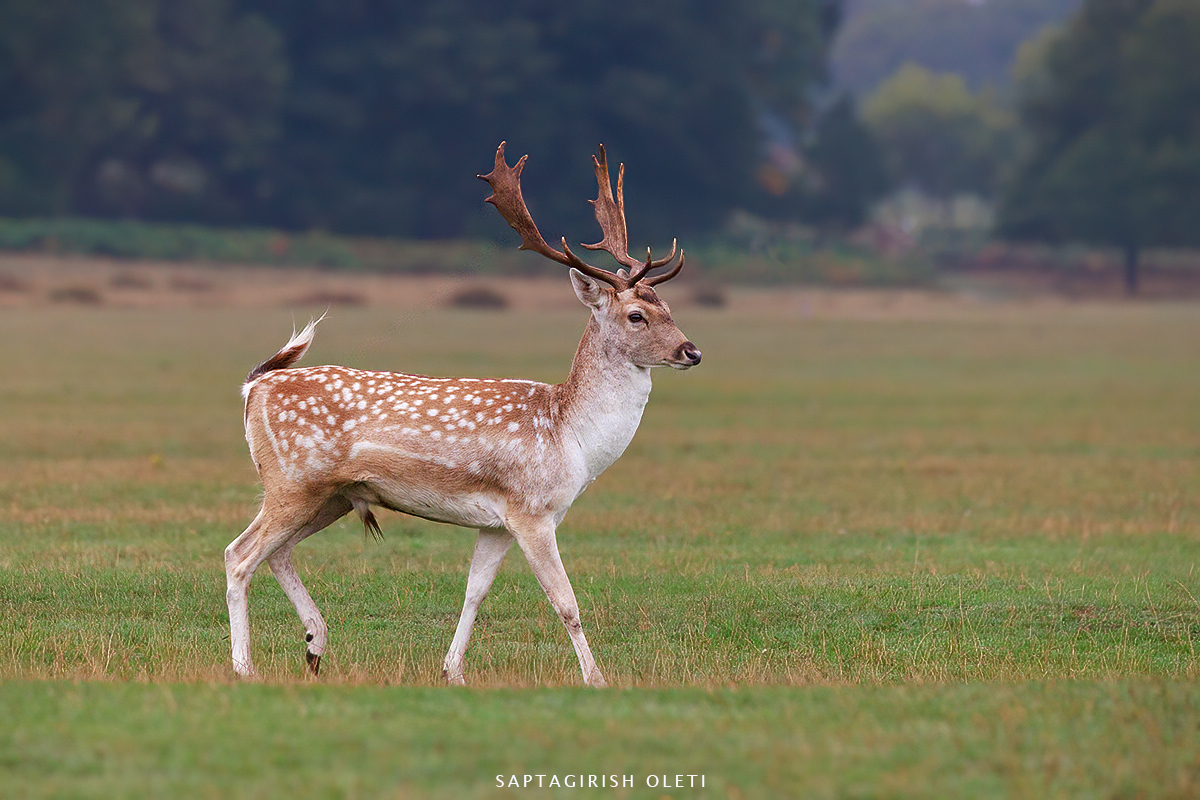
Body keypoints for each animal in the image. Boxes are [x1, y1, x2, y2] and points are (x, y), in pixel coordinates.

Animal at [225, 142, 701, 687]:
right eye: (636, 315)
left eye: (668, 308)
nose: (692, 352)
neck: (570, 436)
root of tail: (255, 386)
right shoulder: (533, 511)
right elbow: (566, 603)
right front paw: (597, 680)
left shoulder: (496, 523)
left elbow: (475, 591)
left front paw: (452, 671)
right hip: (292, 479)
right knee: (239, 555)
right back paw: (244, 666)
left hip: (334, 495)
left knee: (276, 552)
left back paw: (314, 645)